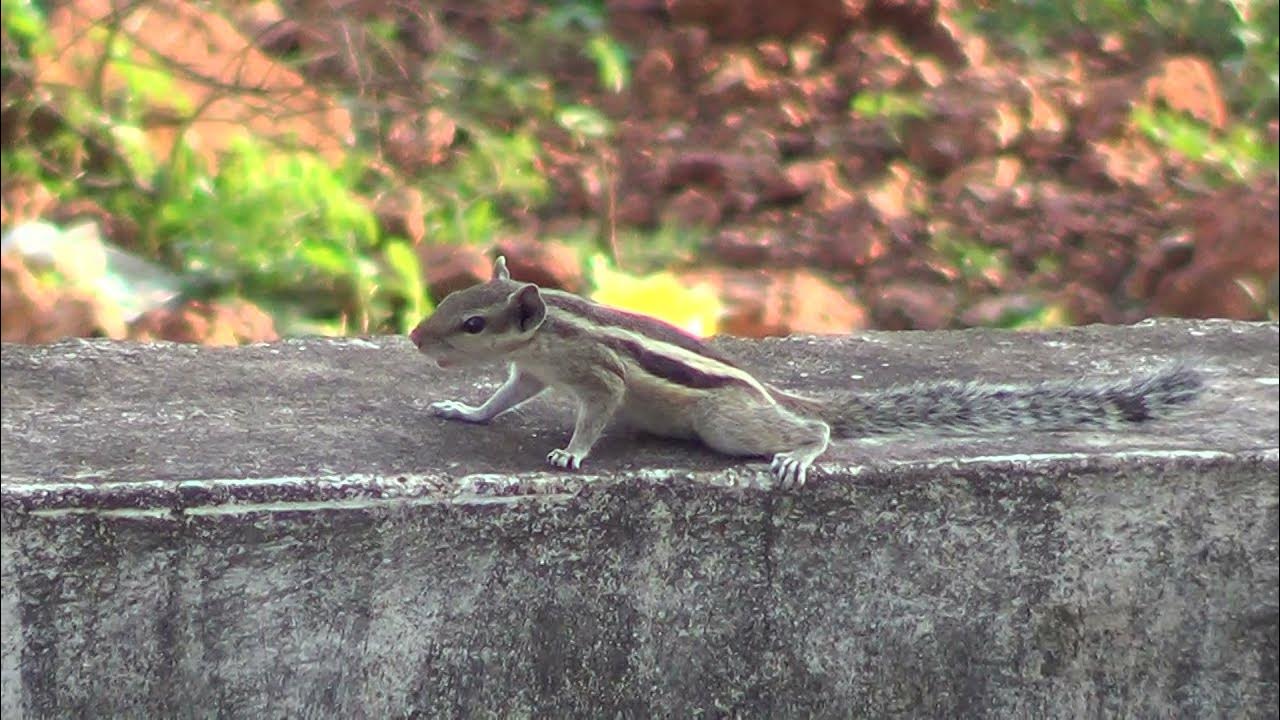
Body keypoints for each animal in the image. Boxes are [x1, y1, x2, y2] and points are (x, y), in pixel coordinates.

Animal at [409, 256, 1204, 488]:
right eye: (448, 301)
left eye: (472, 324)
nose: (416, 339)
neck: (545, 335)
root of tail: (779, 395)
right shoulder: (531, 373)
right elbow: (502, 397)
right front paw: (465, 412)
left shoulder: (596, 376)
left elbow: (597, 409)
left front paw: (572, 452)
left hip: (725, 423)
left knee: (808, 427)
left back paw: (802, 450)